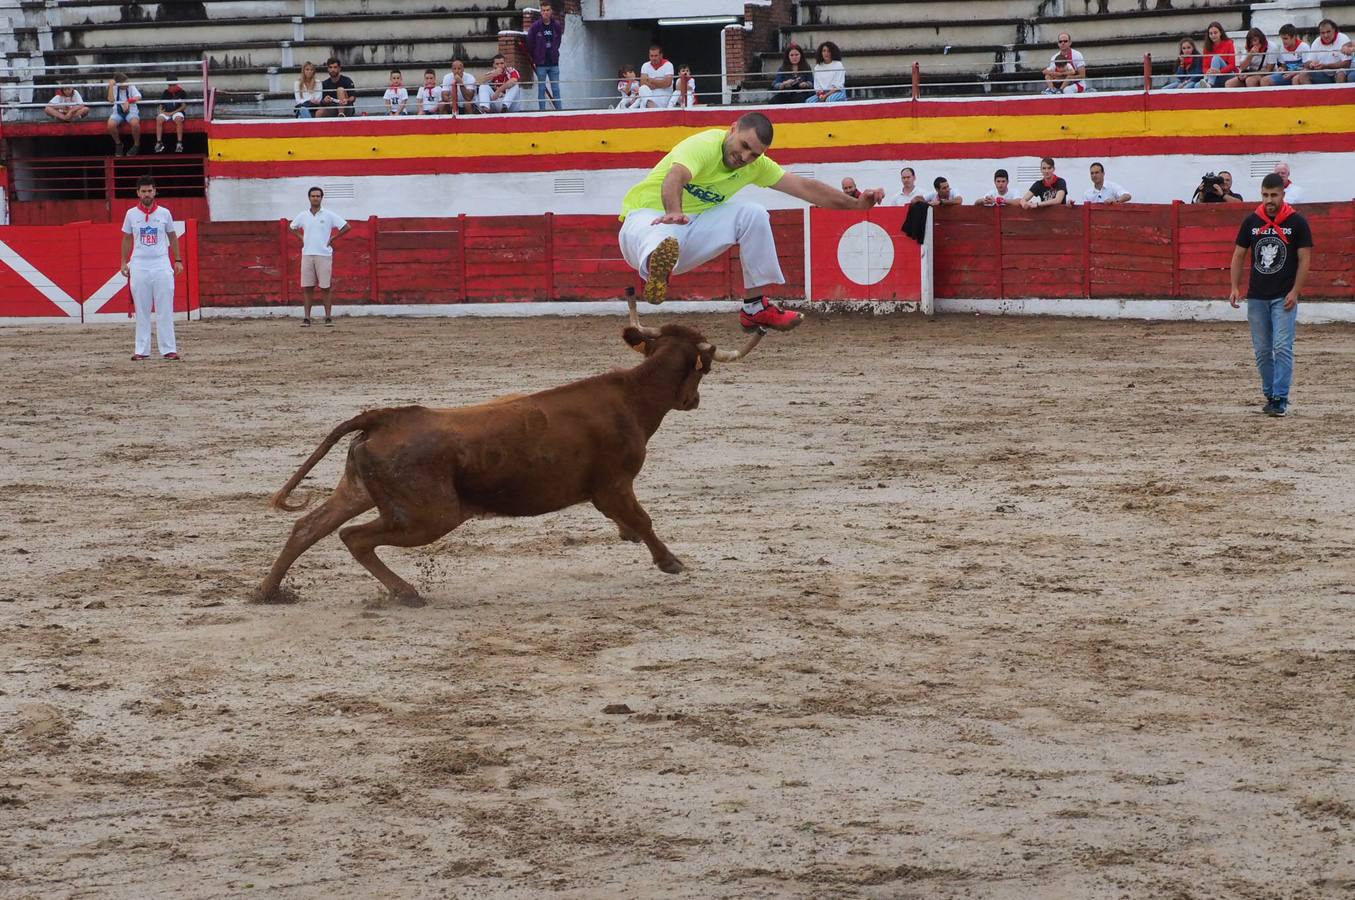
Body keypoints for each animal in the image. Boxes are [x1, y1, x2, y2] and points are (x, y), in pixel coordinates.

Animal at [254, 314, 764, 604]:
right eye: (705, 368)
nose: (692, 401)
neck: (633, 396)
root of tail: (387, 417)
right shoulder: (614, 485)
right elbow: (643, 519)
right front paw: (670, 561)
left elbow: (633, 522)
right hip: (431, 515)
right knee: (353, 536)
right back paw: (407, 593)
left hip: (359, 490)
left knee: (310, 527)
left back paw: (269, 591)